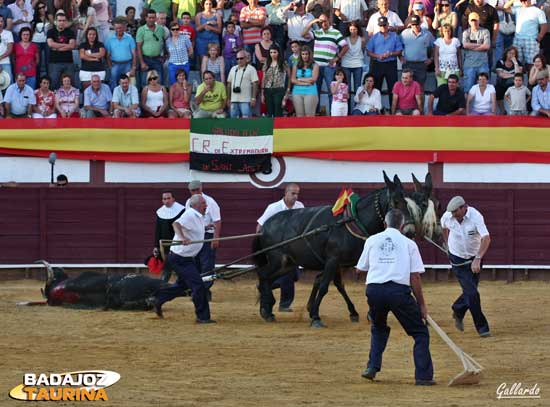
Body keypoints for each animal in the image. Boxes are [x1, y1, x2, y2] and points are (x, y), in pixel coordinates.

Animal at [254, 172, 422, 328]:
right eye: (395, 201)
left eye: (407, 202)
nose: (410, 232)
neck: (352, 222)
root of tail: (265, 226)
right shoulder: (333, 260)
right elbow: (324, 286)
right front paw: (316, 317)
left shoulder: (342, 263)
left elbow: (341, 284)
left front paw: (357, 313)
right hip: (278, 260)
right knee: (263, 275)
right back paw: (266, 310)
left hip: (288, 263)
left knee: (268, 278)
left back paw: (267, 308)